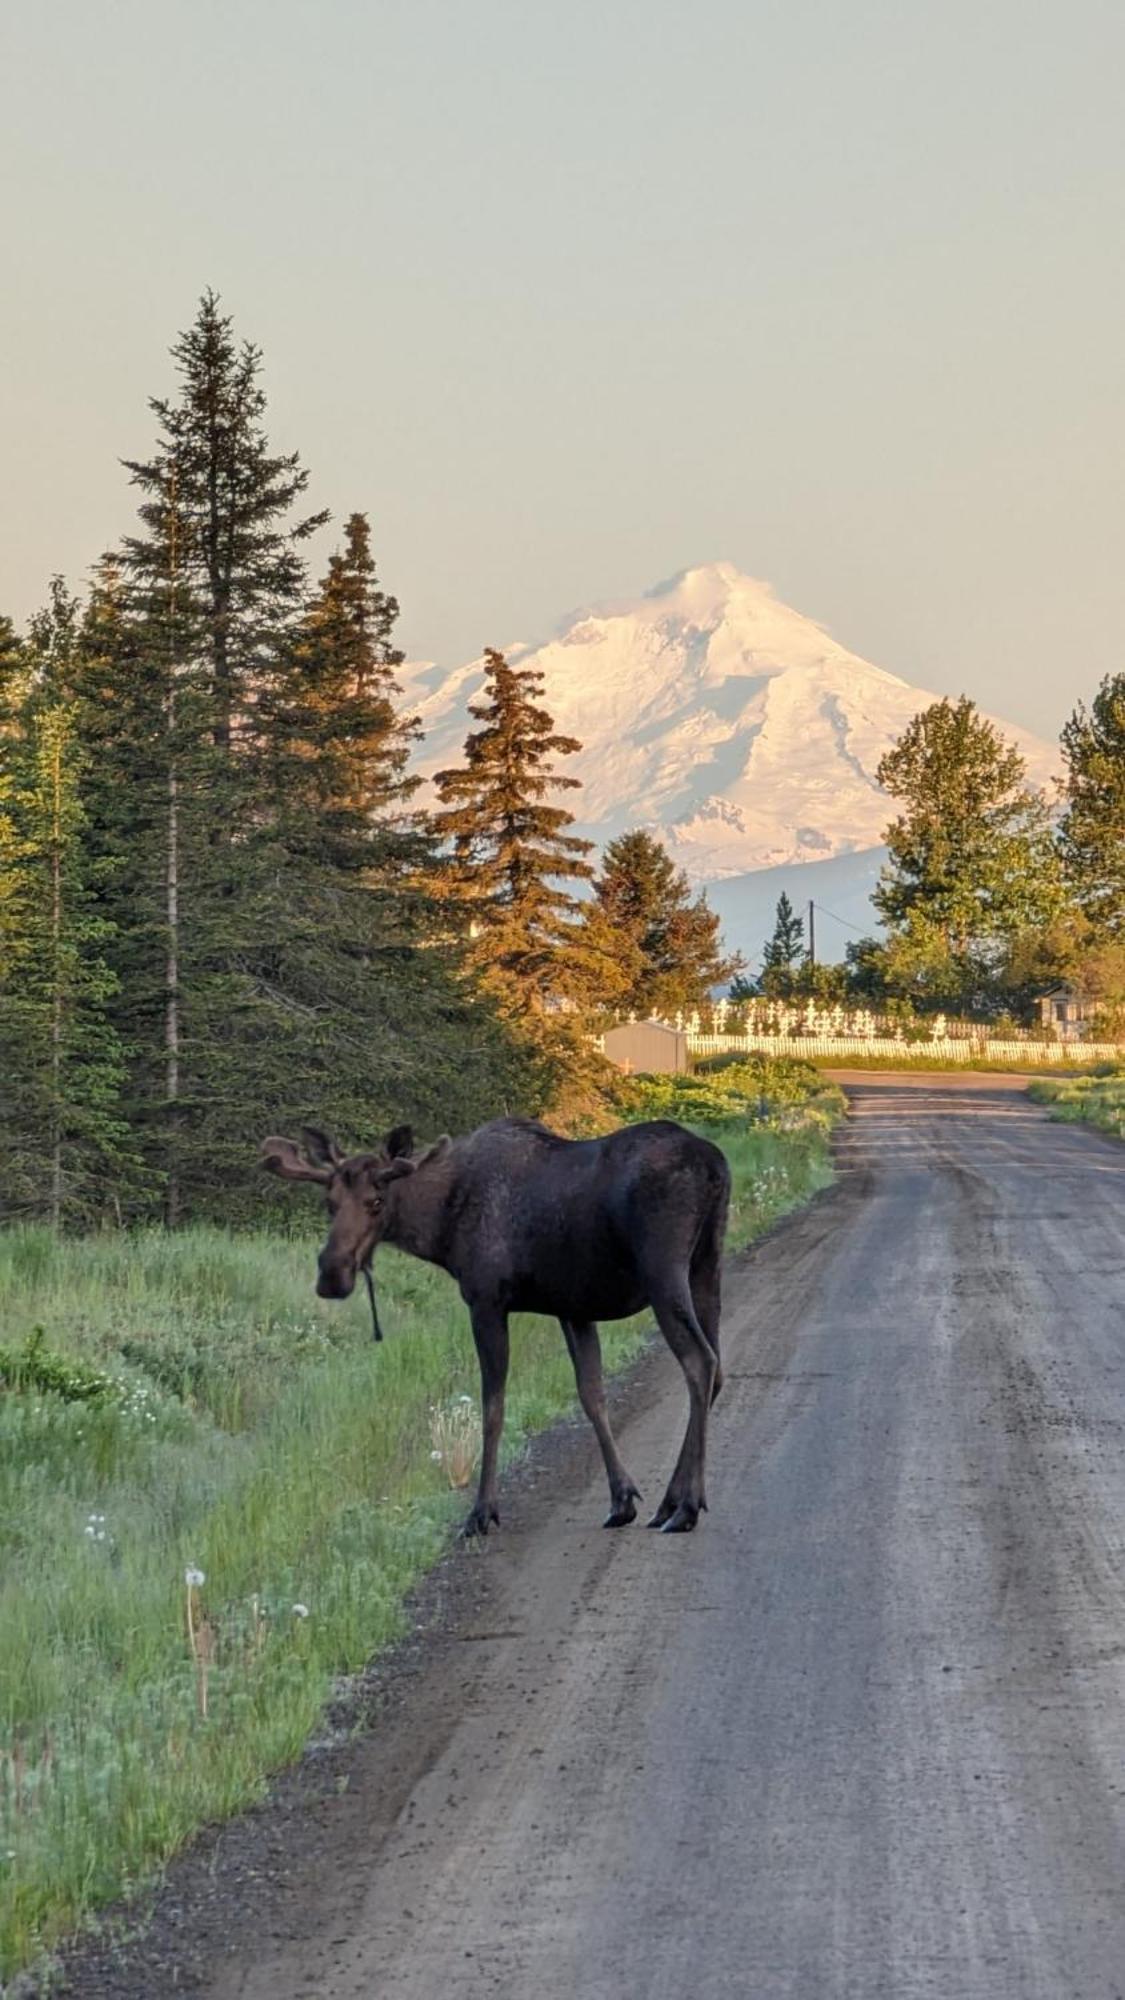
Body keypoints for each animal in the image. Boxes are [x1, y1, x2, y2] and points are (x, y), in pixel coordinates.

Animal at [260, 1120, 732, 1536]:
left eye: (377, 1200)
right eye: (329, 1202)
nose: (331, 1274)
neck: (440, 1228)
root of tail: (716, 1167)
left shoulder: (486, 1302)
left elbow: (492, 1409)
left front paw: (481, 1512)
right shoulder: (573, 1308)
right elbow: (592, 1396)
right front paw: (621, 1499)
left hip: (664, 1270)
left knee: (699, 1361)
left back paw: (686, 1506)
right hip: (706, 1265)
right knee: (717, 1369)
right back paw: (671, 1501)